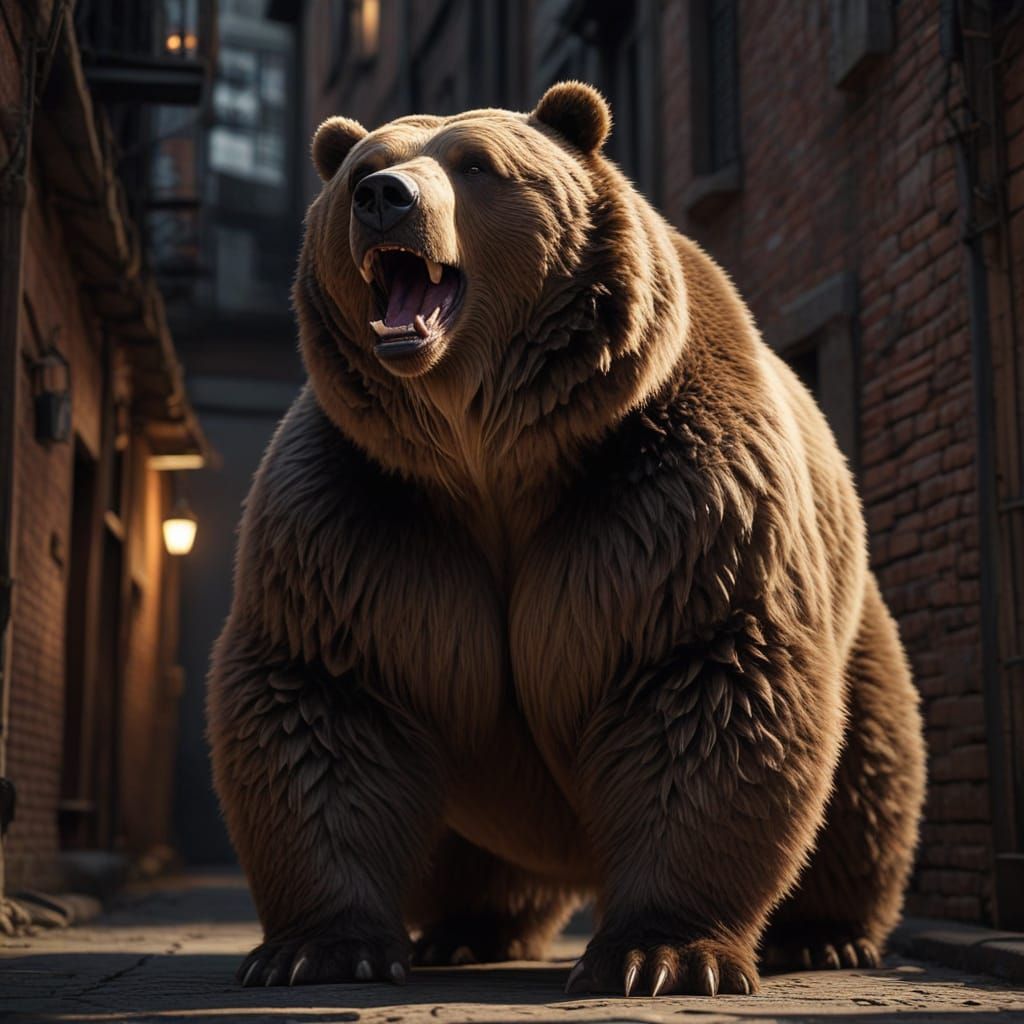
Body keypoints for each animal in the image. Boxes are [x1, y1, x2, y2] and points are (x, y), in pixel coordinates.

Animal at [207, 81, 926, 997]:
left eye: (476, 164)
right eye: (365, 167)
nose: (384, 199)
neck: (492, 457)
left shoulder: (662, 498)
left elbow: (702, 680)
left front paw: (660, 954)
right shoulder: (365, 517)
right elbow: (326, 695)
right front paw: (317, 950)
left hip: (855, 618)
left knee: (867, 770)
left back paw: (827, 935)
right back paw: (467, 929)